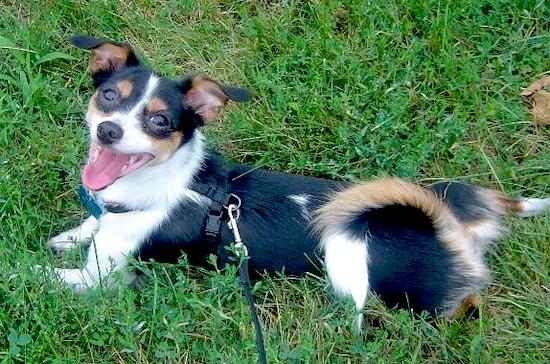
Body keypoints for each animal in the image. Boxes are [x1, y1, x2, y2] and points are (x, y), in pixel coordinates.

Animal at [47, 36, 550, 328]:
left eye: (160, 121)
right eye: (108, 96)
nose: (108, 131)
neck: (169, 183)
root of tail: (448, 229)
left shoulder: (99, 280)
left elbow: (42, 277)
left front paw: (33, 274)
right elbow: (88, 226)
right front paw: (69, 234)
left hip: (358, 266)